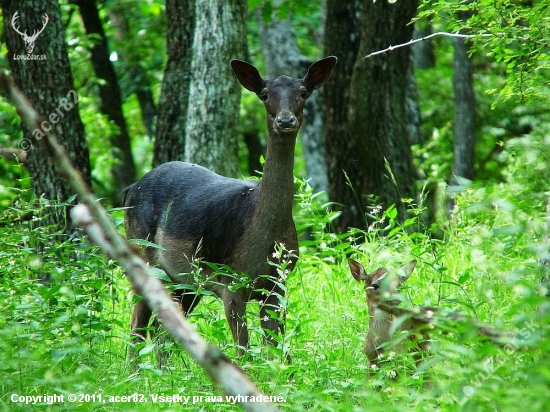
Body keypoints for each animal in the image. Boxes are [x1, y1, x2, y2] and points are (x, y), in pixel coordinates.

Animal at [125, 56, 338, 358]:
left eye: (304, 92)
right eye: (264, 94)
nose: (285, 120)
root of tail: (131, 188)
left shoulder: (278, 284)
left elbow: (278, 350)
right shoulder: (231, 281)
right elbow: (244, 351)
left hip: (183, 281)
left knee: (162, 334)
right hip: (143, 256)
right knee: (137, 326)